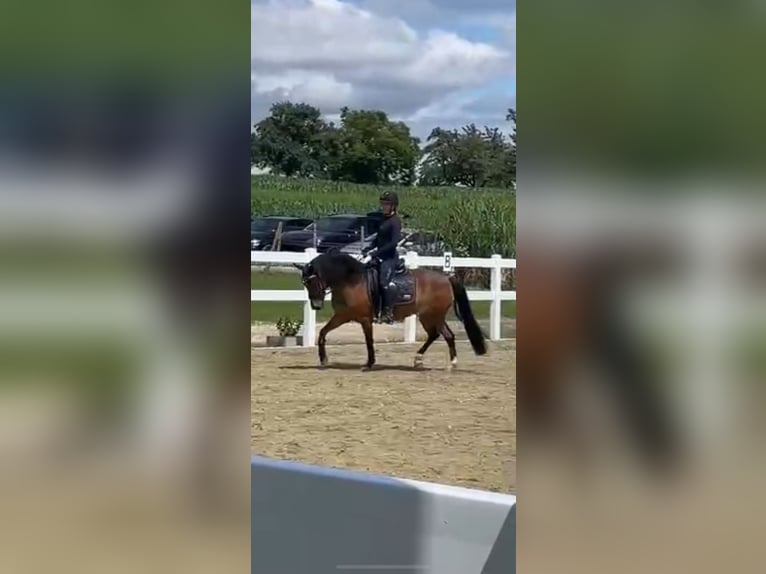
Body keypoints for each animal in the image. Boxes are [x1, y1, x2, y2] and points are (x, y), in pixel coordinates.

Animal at [294, 253, 486, 372]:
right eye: (305, 283)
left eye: (312, 281)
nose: (316, 305)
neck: (351, 280)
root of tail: (447, 278)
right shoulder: (344, 316)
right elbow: (323, 332)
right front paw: (324, 359)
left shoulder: (359, 318)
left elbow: (368, 341)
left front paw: (369, 363)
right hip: (429, 316)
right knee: (442, 335)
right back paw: (427, 361)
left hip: (433, 315)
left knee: (443, 335)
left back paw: (445, 362)